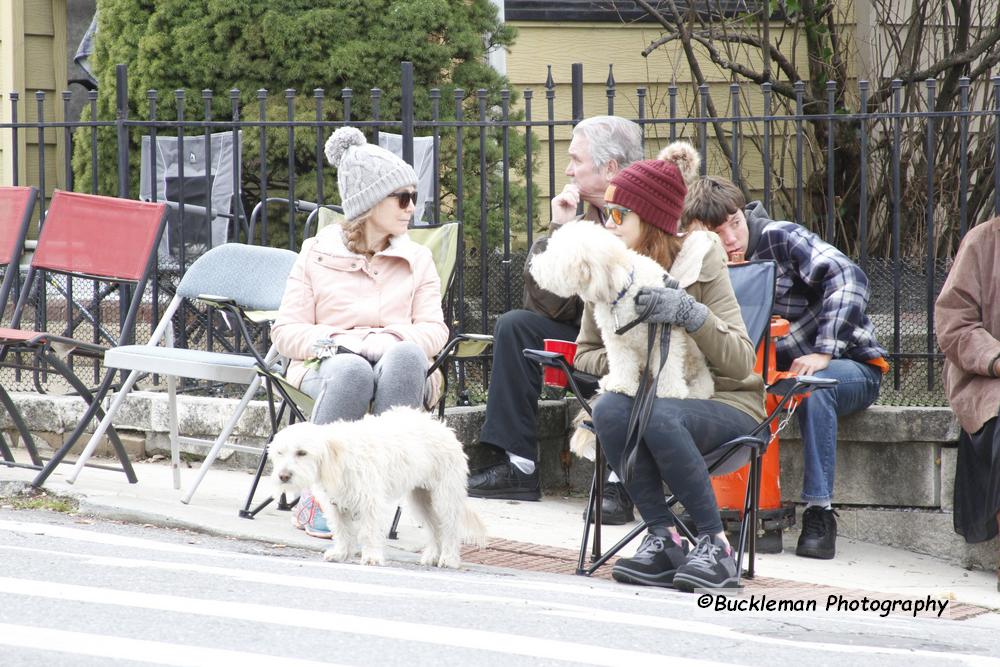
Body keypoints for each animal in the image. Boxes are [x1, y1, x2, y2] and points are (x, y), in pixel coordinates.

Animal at [266, 408, 484, 568]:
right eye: (280, 452)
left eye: (302, 452)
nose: (283, 476)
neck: (337, 458)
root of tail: (444, 427)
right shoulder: (335, 504)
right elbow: (342, 530)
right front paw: (341, 553)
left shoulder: (369, 502)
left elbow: (368, 532)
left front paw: (371, 557)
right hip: (420, 499)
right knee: (434, 528)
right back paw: (432, 556)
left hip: (444, 497)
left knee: (450, 528)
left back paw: (449, 558)